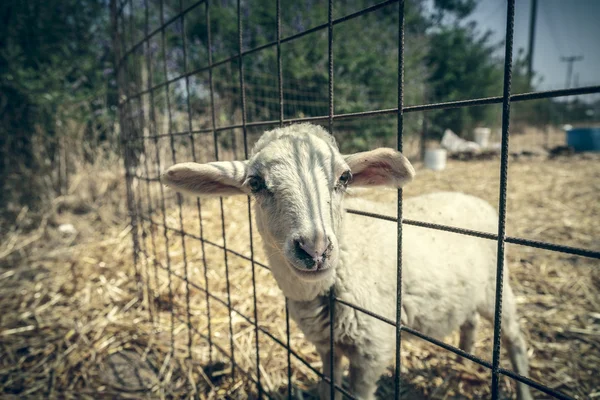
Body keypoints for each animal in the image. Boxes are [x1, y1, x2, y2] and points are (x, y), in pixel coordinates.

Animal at [162, 122, 532, 400]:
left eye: (345, 178)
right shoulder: (325, 345)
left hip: (498, 287)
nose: (315, 249)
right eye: (255, 183)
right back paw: (462, 362)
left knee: (515, 338)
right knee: (469, 321)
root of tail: (473, 199)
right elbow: (329, 387)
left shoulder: (373, 349)